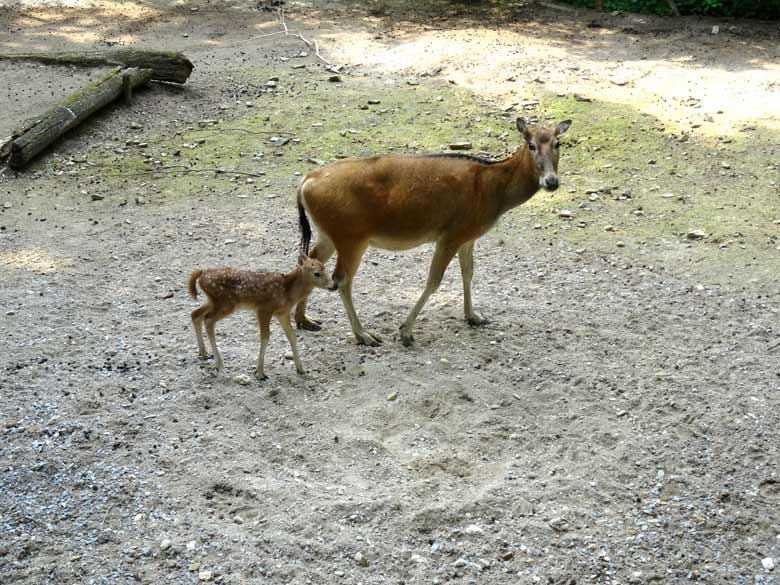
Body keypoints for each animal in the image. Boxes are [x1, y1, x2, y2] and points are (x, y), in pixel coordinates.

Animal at [190, 256, 336, 378]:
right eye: (317, 273)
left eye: (325, 267)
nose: (335, 285)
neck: (286, 292)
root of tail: (201, 273)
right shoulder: (263, 310)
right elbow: (265, 337)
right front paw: (260, 372)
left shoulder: (282, 313)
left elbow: (292, 337)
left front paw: (301, 369)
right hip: (226, 303)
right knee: (208, 320)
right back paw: (219, 365)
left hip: (214, 301)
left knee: (195, 314)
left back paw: (204, 354)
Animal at [296, 117, 568, 346]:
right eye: (531, 145)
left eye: (558, 143)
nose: (552, 182)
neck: (491, 190)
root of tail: (306, 182)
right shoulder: (451, 233)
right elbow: (434, 280)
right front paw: (405, 332)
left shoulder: (468, 235)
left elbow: (468, 272)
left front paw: (474, 316)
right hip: (351, 236)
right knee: (341, 279)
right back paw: (364, 335)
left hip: (328, 233)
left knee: (312, 260)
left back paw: (305, 320)